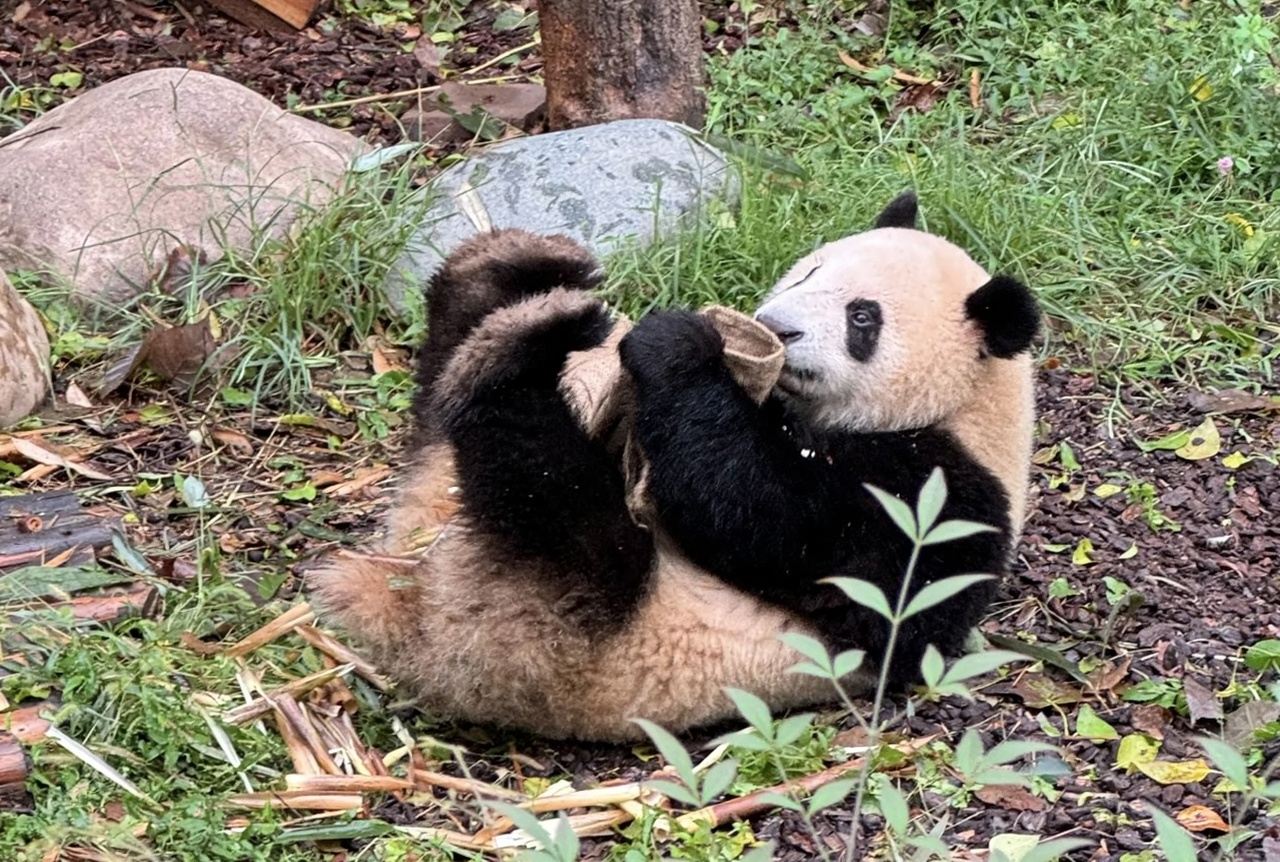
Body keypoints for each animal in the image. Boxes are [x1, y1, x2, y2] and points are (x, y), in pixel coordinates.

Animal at [309, 192, 1040, 742]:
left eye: (863, 316)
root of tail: (411, 610)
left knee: (548, 490)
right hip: (439, 494)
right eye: (809, 271)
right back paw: (510, 271)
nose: (778, 326)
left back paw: (517, 350)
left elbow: (766, 519)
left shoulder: (935, 497)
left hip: (560, 627)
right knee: (442, 392)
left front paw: (678, 346)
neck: (958, 406)